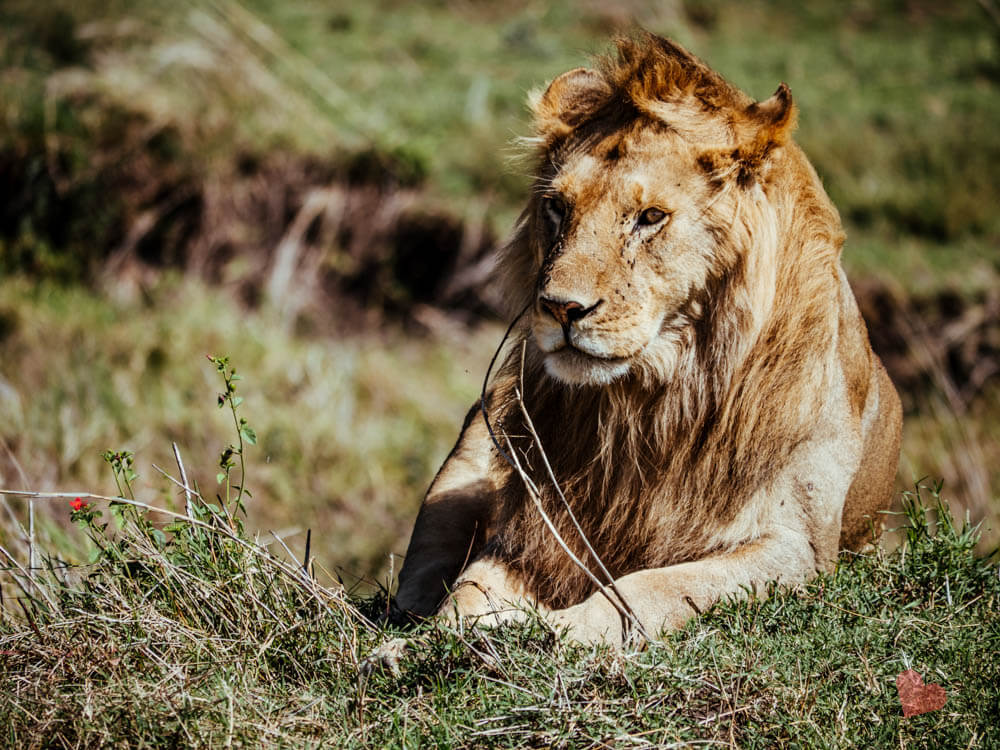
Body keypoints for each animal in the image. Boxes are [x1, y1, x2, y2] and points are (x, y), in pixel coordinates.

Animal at [388, 33, 900, 648]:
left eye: (650, 216)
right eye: (558, 207)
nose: (560, 308)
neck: (653, 401)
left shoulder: (797, 547)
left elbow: (654, 588)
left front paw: (561, 634)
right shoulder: (535, 524)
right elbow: (469, 588)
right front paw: (445, 637)